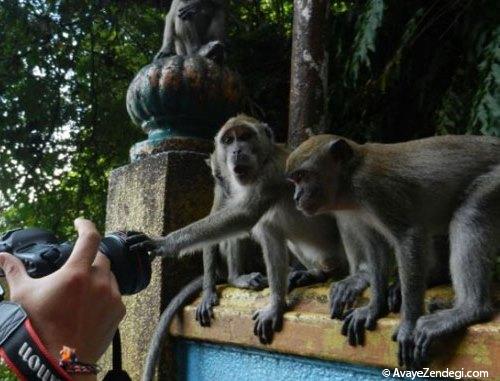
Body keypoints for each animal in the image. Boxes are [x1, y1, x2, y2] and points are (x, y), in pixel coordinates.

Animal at [135, 114, 350, 342]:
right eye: (229, 140)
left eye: (245, 137)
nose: (237, 151)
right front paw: (209, 290)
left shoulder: (273, 172)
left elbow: (244, 215)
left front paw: (165, 244)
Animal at [286, 134, 500, 368]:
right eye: (295, 180)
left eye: (302, 176)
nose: (296, 197)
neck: (351, 177)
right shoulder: (361, 210)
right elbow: (376, 247)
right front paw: (374, 307)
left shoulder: (375, 189)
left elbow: (409, 237)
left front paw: (408, 325)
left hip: (494, 182)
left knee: (471, 212)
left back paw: (470, 309)